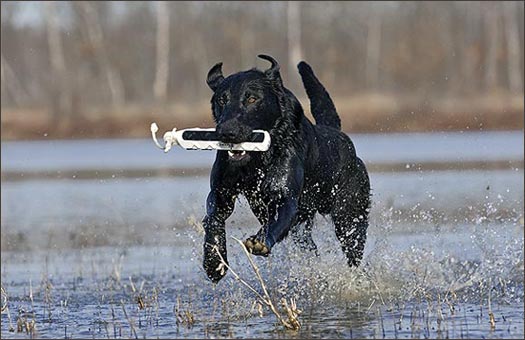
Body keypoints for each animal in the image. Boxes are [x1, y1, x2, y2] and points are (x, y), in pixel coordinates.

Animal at [201, 54, 368, 282]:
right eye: (222, 100)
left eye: (252, 99)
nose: (227, 132)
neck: (257, 161)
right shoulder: (220, 193)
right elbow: (213, 220)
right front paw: (214, 262)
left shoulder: (285, 197)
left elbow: (276, 220)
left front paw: (260, 240)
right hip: (303, 228)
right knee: (309, 247)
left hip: (350, 217)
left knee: (354, 253)